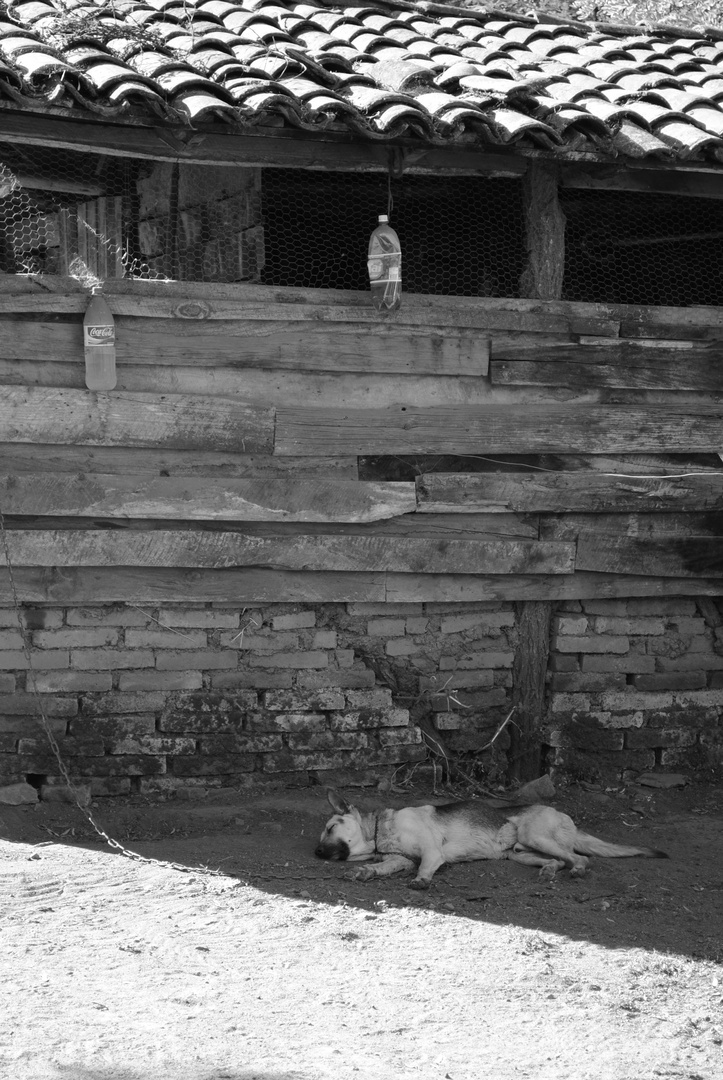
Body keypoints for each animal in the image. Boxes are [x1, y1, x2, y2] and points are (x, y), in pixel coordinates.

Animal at [315, 786, 665, 885]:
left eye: (330, 828)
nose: (316, 854)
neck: (380, 829)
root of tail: (568, 819)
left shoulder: (431, 852)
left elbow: (425, 865)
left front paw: (422, 880)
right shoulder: (397, 860)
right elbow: (379, 867)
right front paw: (364, 871)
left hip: (536, 836)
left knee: (579, 858)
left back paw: (576, 869)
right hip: (519, 852)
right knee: (556, 861)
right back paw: (549, 871)